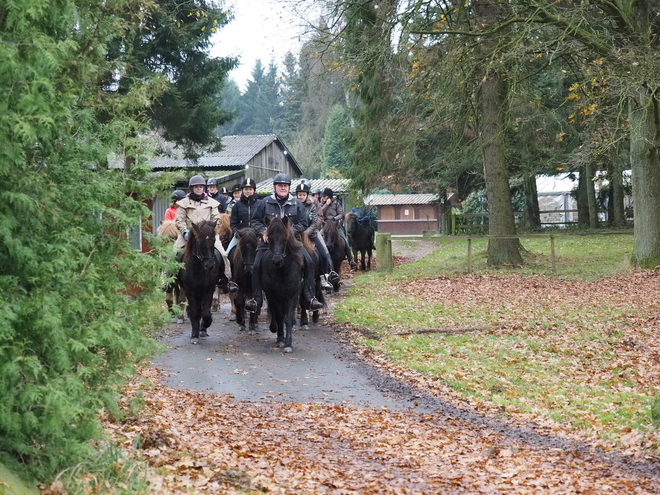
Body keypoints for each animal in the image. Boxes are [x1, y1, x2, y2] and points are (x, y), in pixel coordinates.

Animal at [262, 217, 304, 352]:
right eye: (269, 238)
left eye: (285, 238)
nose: (277, 260)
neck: (282, 270)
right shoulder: (272, 295)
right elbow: (280, 317)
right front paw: (281, 340)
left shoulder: (292, 295)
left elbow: (288, 318)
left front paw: (288, 344)